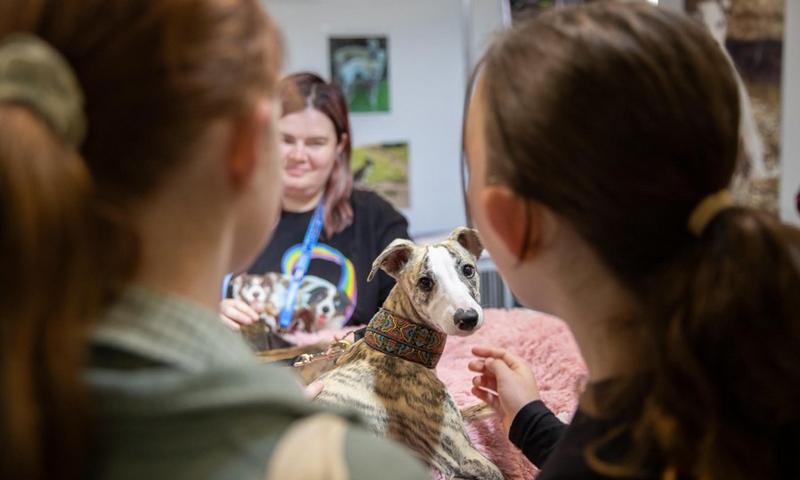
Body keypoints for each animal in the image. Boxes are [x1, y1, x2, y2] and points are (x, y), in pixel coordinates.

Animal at [310, 227, 504, 480]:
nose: (468, 318)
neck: (397, 345)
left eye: (468, 269)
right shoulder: (466, 458)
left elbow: (483, 407)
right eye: (425, 282)